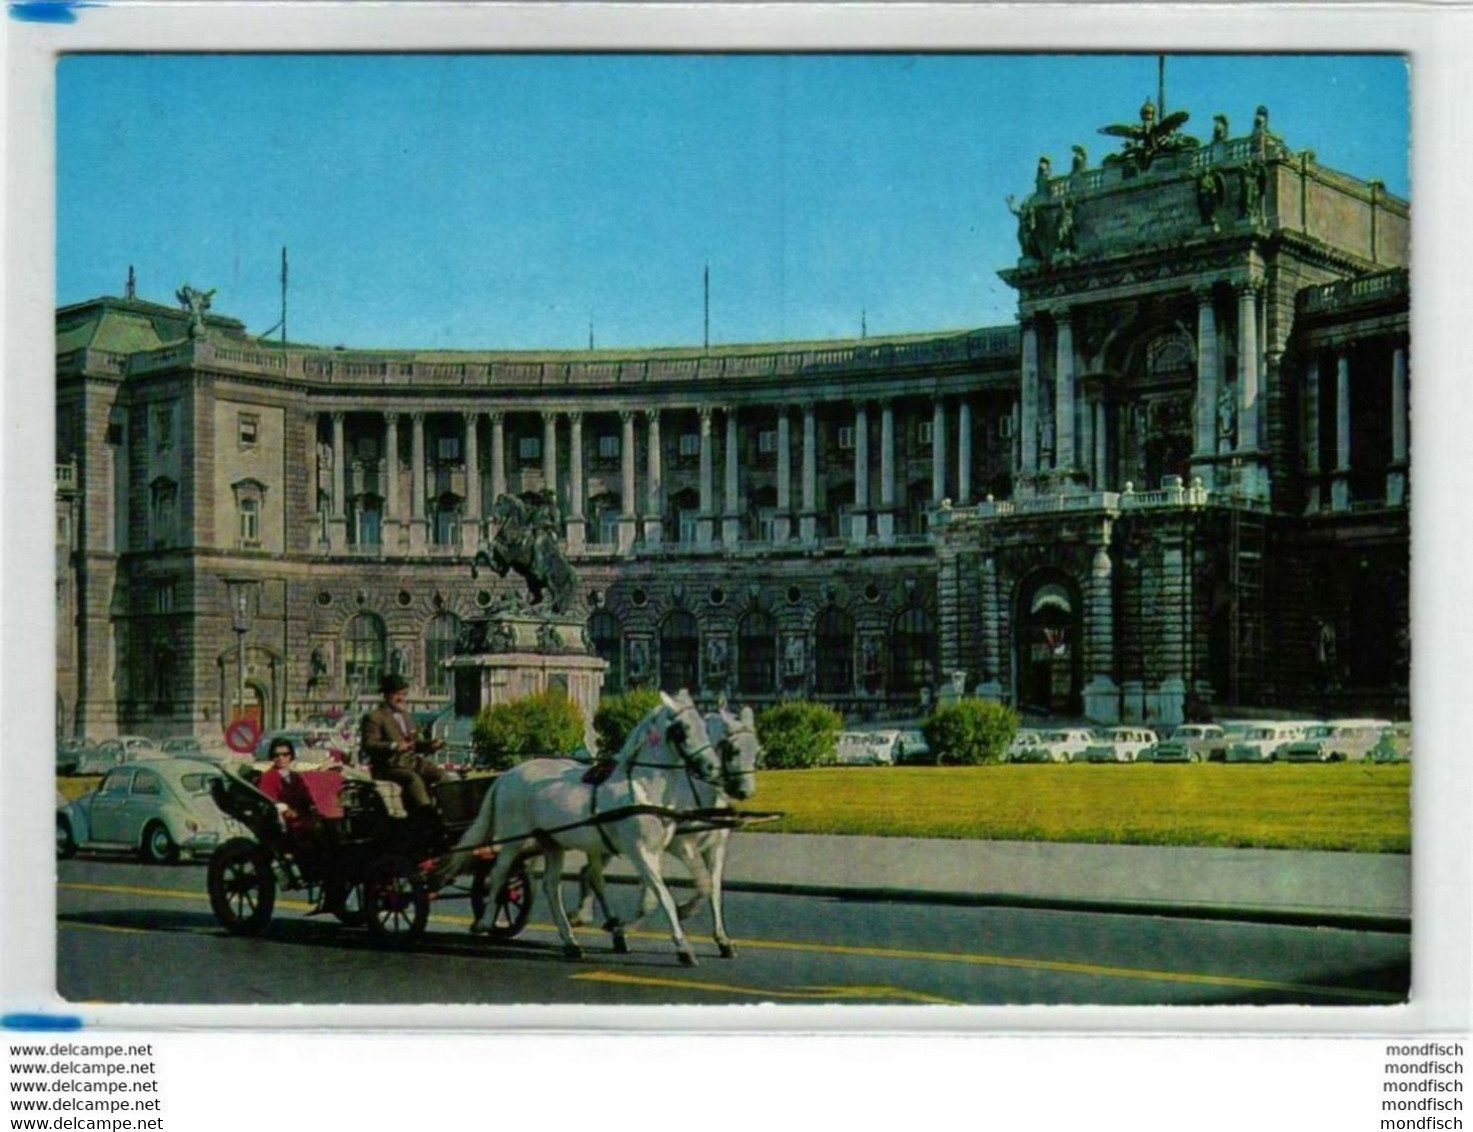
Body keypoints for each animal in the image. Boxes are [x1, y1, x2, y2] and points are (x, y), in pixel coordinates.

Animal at [444, 689, 727, 966]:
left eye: (703, 725)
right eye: (682, 729)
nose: (713, 767)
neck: (641, 788)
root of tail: (504, 776)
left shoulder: (658, 849)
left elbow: (661, 893)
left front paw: (625, 929)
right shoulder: (639, 850)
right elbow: (663, 895)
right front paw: (683, 947)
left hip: (551, 842)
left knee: (551, 886)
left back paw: (570, 941)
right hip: (515, 837)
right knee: (500, 874)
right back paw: (484, 921)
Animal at [571, 707, 760, 955]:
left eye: (756, 752)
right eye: (734, 751)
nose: (745, 791)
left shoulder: (716, 846)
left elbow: (714, 889)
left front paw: (722, 939)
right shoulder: (679, 844)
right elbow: (696, 886)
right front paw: (680, 913)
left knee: (589, 873)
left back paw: (586, 916)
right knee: (593, 875)